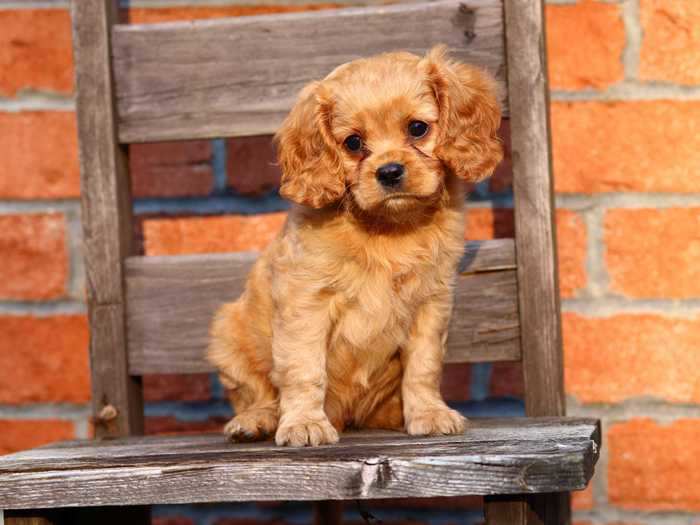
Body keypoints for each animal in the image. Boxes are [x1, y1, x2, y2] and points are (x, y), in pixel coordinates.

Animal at [208, 46, 504, 446]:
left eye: (417, 128)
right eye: (353, 143)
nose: (389, 171)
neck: (386, 229)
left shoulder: (431, 304)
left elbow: (423, 366)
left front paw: (428, 413)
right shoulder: (306, 305)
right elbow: (304, 368)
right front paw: (304, 423)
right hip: (228, 334)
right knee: (257, 392)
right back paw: (256, 420)